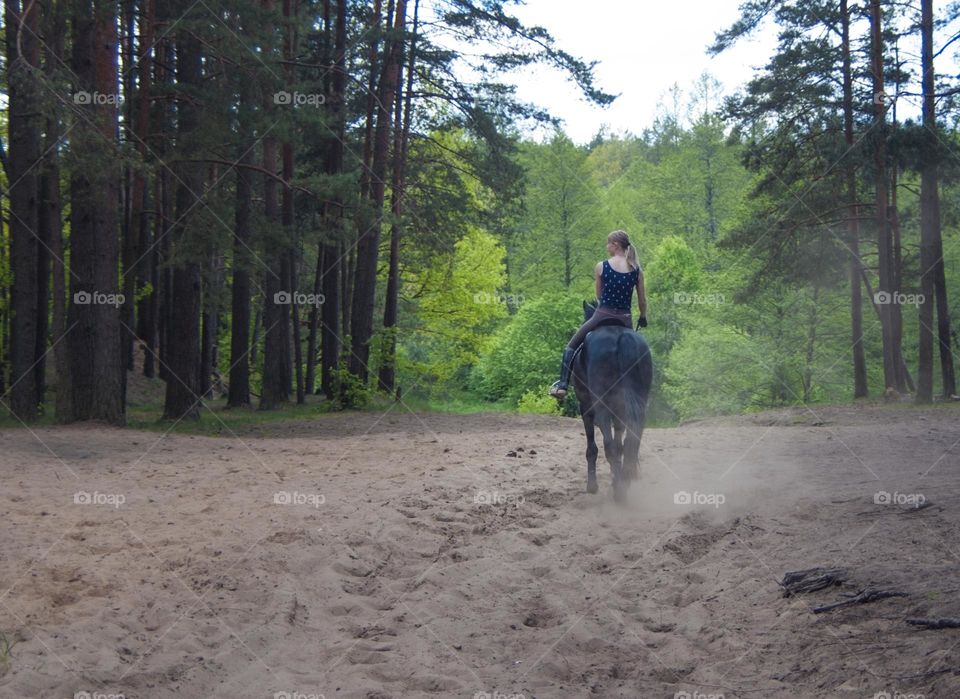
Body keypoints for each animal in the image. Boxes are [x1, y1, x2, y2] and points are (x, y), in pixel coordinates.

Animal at [568, 302, 652, 504]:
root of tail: (622, 338)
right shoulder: (620, 412)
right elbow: (621, 444)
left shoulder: (586, 408)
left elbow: (593, 448)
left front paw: (592, 486)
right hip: (638, 402)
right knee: (631, 440)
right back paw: (624, 480)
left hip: (601, 407)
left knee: (609, 445)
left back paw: (619, 491)